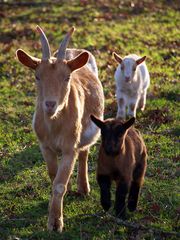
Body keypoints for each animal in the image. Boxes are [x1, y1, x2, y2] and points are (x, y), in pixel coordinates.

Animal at [16, 26, 105, 232]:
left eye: (67, 77)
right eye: (37, 76)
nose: (50, 104)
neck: (55, 126)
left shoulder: (69, 148)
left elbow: (59, 184)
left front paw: (55, 223)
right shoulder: (45, 146)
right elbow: (53, 176)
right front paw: (53, 209)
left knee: (84, 153)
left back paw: (83, 188)